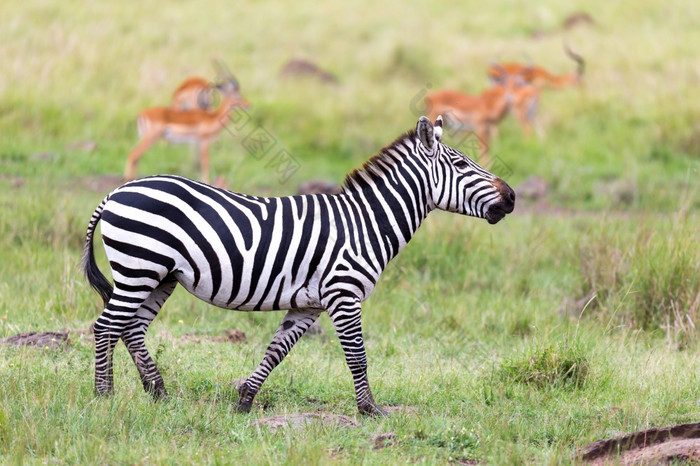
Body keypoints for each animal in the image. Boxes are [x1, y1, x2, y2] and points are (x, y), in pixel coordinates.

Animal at [82, 115, 516, 416]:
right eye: (462, 166)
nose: (511, 197)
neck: (364, 223)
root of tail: (116, 191)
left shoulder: (308, 304)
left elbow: (277, 351)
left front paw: (244, 401)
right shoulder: (344, 295)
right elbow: (357, 354)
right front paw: (370, 410)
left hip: (160, 276)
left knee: (132, 328)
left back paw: (159, 393)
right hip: (139, 267)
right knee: (106, 326)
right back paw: (104, 396)